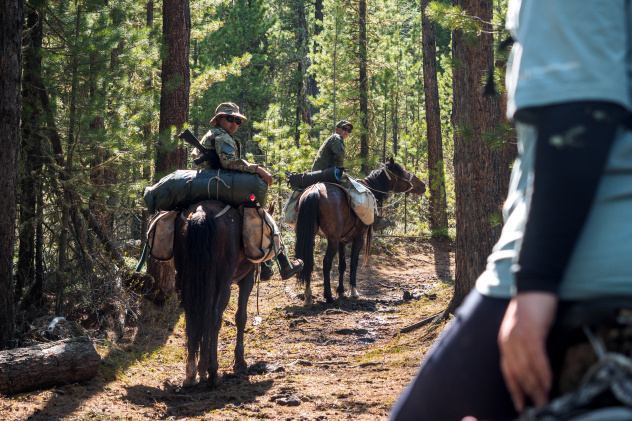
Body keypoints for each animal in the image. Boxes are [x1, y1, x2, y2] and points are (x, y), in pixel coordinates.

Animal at [174, 200, 256, 388]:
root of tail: (201, 213)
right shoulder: (247, 279)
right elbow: (241, 317)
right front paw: (239, 361)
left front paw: (201, 369)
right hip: (223, 282)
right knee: (214, 317)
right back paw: (213, 373)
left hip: (187, 277)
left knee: (192, 316)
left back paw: (191, 375)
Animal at [296, 158, 424, 306]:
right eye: (402, 172)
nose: (422, 184)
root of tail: (314, 191)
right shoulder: (358, 238)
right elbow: (353, 263)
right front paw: (353, 291)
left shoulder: (342, 241)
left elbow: (342, 265)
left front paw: (341, 290)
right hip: (332, 239)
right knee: (326, 262)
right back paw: (328, 296)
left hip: (312, 237)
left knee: (307, 261)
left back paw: (308, 296)